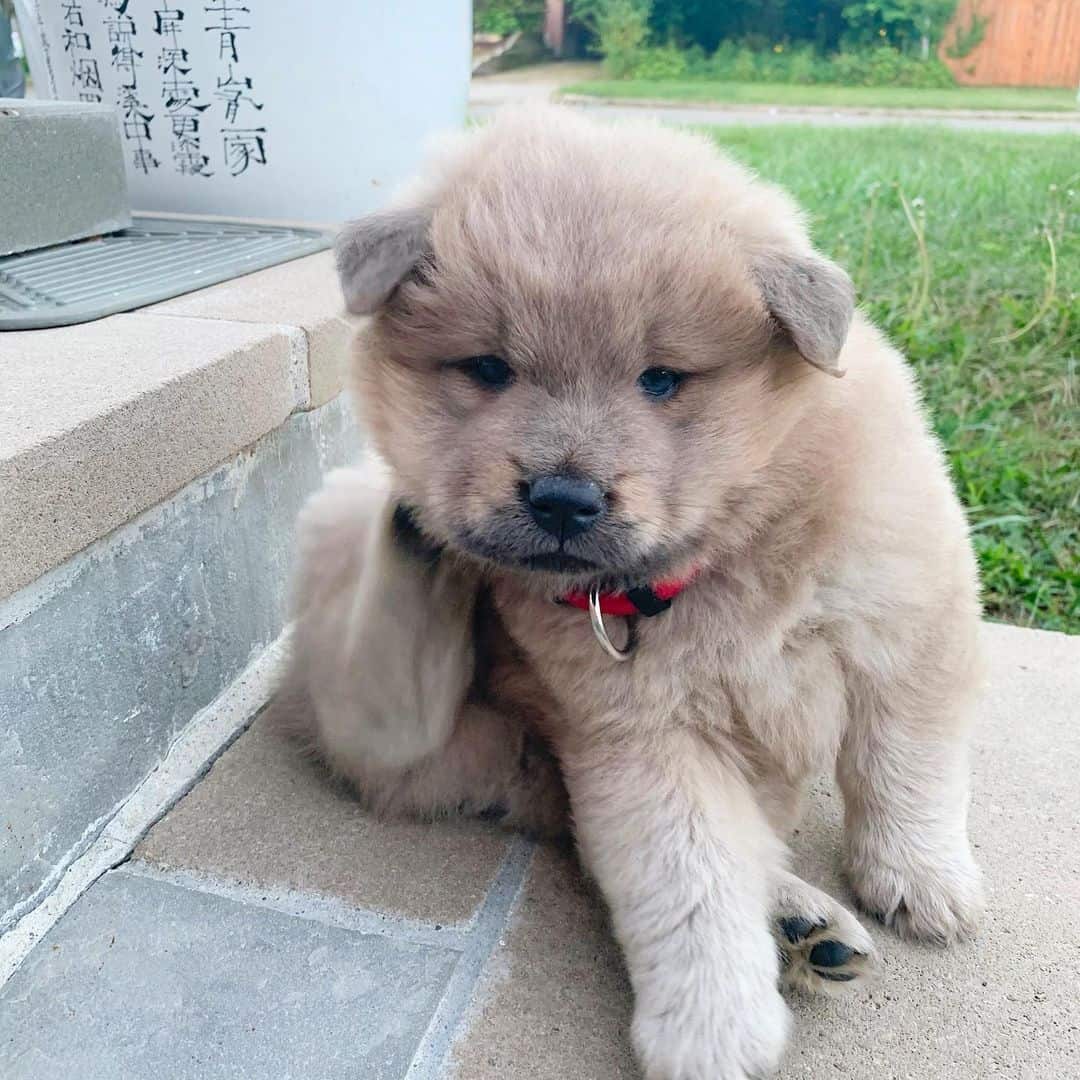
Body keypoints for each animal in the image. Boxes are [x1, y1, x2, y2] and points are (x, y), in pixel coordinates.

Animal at [280, 107, 989, 1080]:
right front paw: (713, 1032)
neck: (721, 557)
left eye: (661, 379)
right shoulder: (643, 738)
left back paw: (800, 925)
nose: (561, 499)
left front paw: (923, 882)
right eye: (489, 369)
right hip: (362, 579)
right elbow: (687, 878)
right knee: (383, 705)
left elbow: (905, 767)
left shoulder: (909, 624)